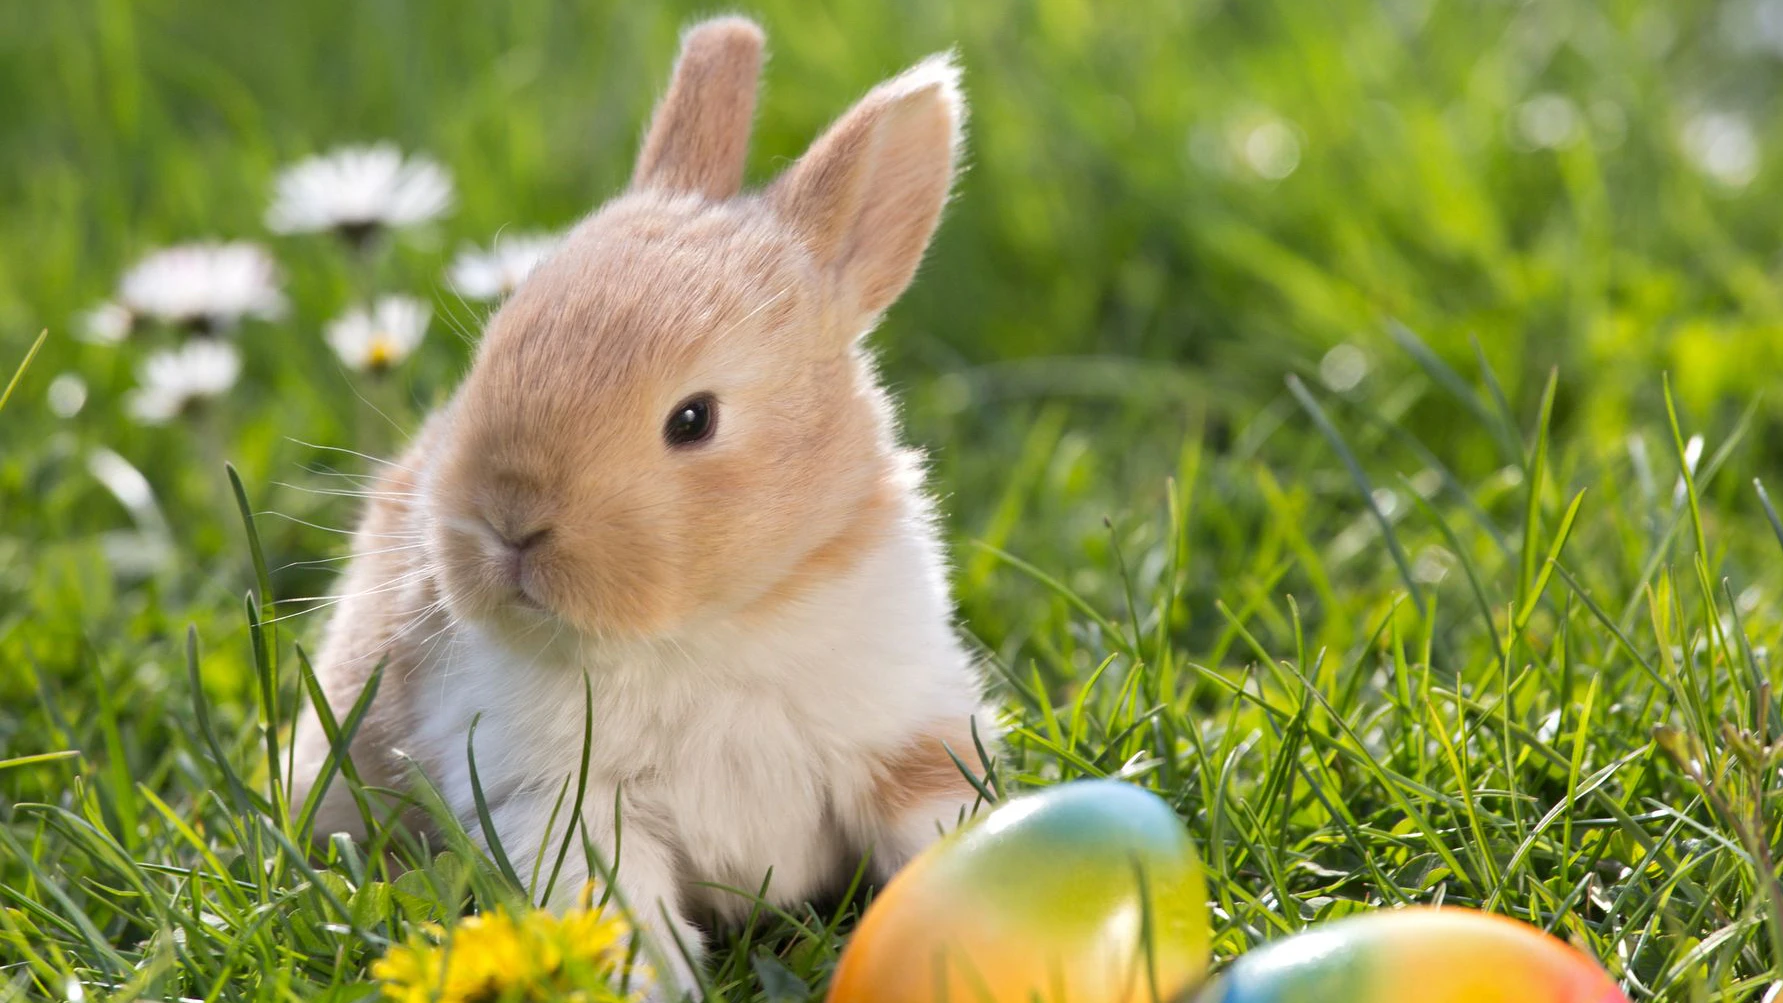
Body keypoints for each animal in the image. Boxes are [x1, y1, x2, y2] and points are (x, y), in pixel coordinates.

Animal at [287, 15, 996, 998]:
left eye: (692, 419)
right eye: (494, 349)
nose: (508, 521)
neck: (708, 626)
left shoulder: (911, 742)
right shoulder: (567, 806)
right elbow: (620, 915)